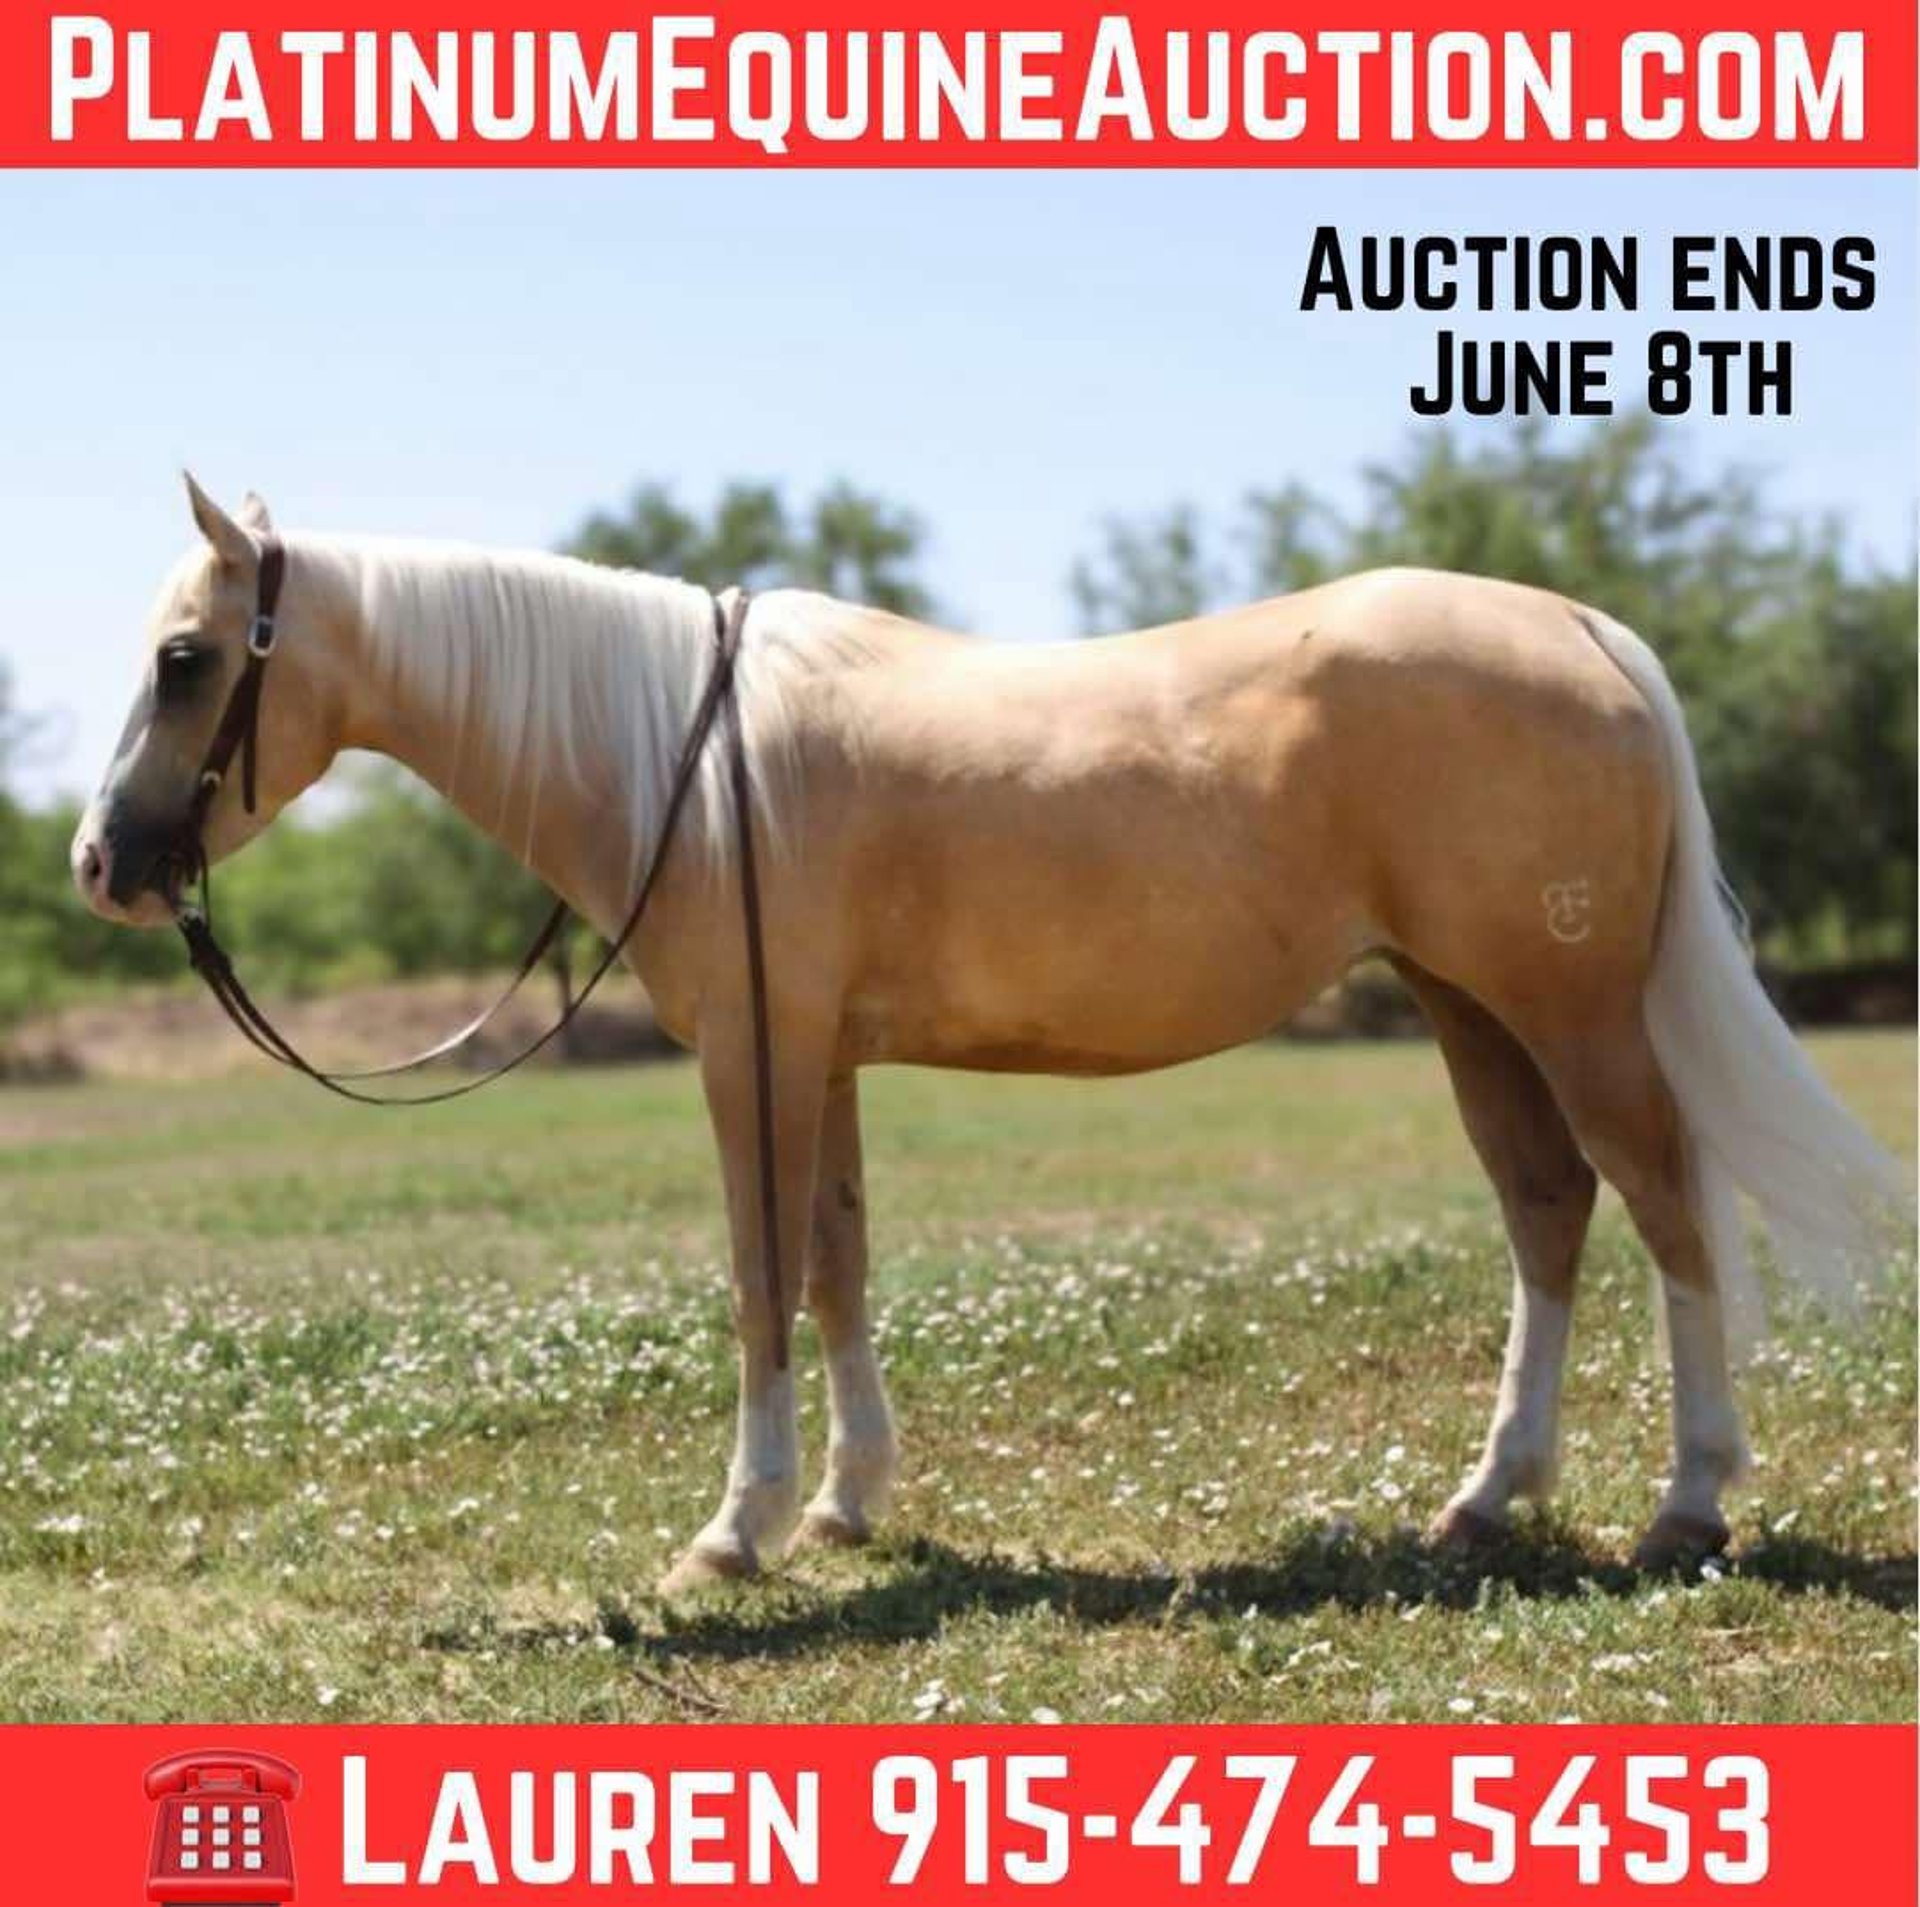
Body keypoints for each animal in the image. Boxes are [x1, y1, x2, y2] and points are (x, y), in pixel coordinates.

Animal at [73, 476, 1904, 1595]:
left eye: (185, 659)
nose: (101, 863)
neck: (684, 750)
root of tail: (1581, 627)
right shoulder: (816, 1054)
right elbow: (835, 1265)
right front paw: (840, 1502)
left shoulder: (751, 1052)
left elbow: (758, 1275)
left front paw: (733, 1530)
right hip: (1470, 1005)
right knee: (1549, 1209)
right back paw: (1483, 1499)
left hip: (1566, 1007)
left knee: (1662, 1204)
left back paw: (1686, 1500)